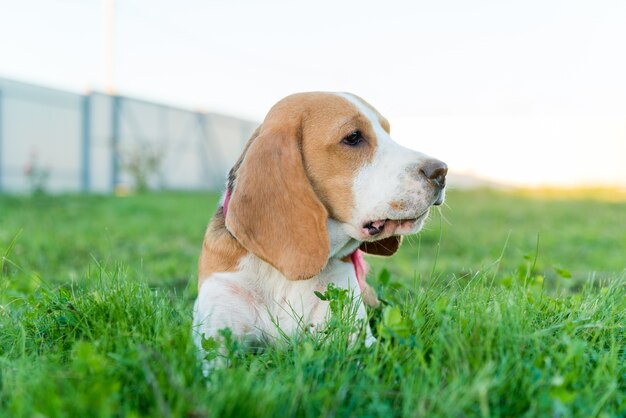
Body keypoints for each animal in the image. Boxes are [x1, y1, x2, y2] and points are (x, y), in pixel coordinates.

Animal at [193, 91, 446, 356]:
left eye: (388, 131)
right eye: (353, 137)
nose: (442, 171)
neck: (281, 276)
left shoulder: (354, 338)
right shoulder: (215, 342)